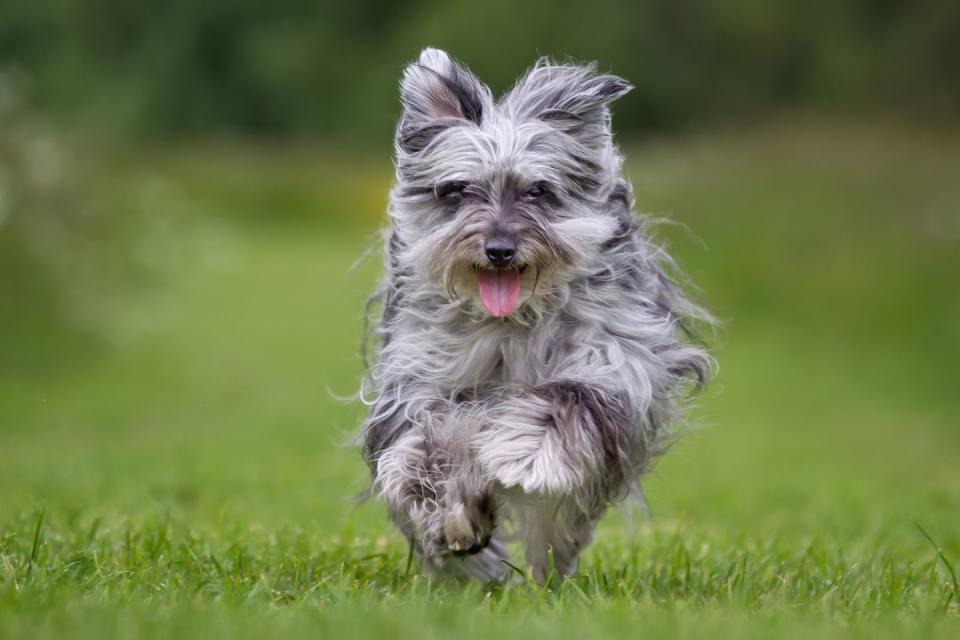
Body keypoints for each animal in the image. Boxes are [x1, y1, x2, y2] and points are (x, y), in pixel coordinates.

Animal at [356, 47, 708, 584]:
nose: (500, 249)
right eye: (457, 189)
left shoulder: (615, 359)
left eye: (539, 190)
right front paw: (446, 511)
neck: (511, 323)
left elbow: (565, 401)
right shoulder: (419, 377)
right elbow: (425, 444)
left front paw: (524, 454)